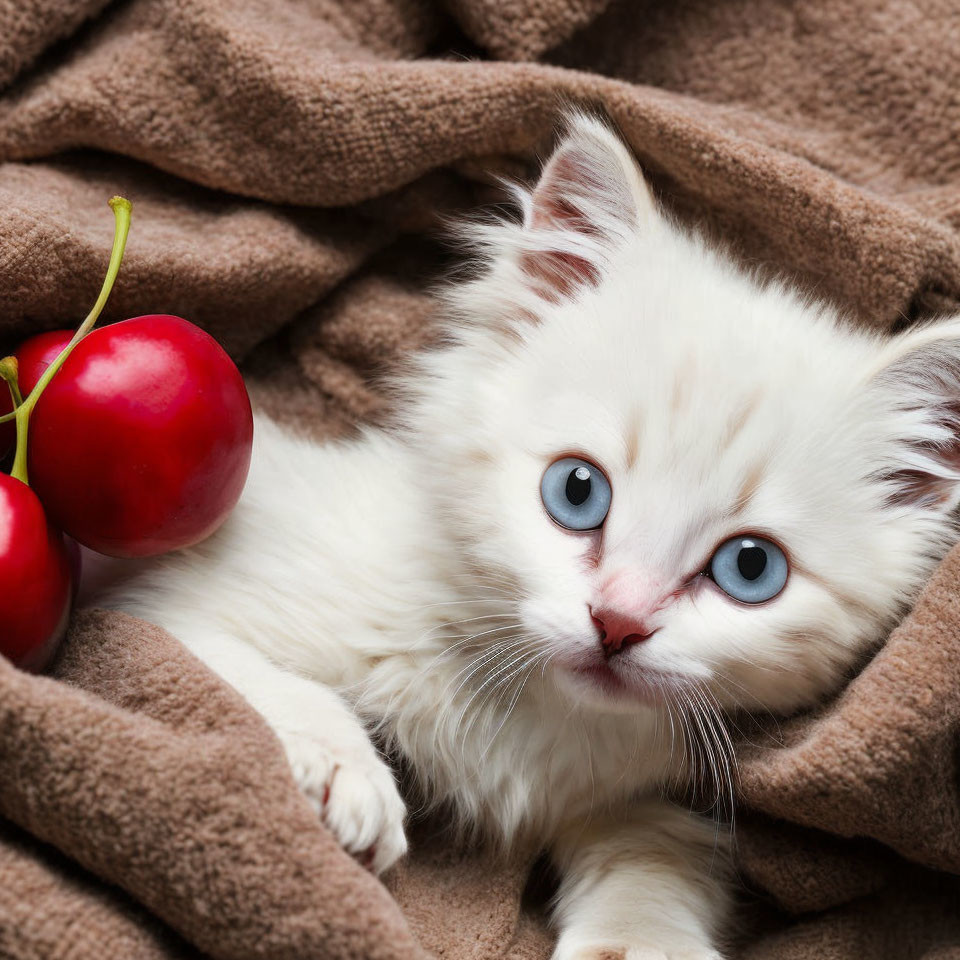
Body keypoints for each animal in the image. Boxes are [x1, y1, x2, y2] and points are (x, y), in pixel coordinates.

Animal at [97, 116, 960, 956]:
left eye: (750, 569)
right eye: (577, 491)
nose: (618, 623)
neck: (525, 715)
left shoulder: (645, 794)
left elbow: (655, 858)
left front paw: (639, 941)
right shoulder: (160, 608)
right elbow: (229, 674)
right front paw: (340, 769)